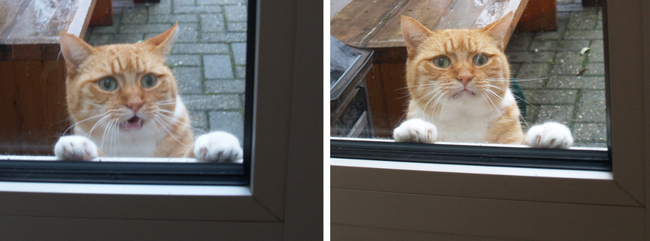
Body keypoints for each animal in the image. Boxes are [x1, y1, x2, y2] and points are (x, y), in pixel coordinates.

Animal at [53, 23, 243, 162]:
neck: (134, 146)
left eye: (149, 80)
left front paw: (217, 141)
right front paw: (78, 147)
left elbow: (188, 154)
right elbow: (100, 154)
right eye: (107, 83)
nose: (135, 104)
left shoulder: (178, 155)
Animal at [392, 14, 568, 148]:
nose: (465, 77)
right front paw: (415, 128)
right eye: (441, 62)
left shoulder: (512, 142)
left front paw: (548, 130)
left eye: (481, 59)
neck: (463, 119)